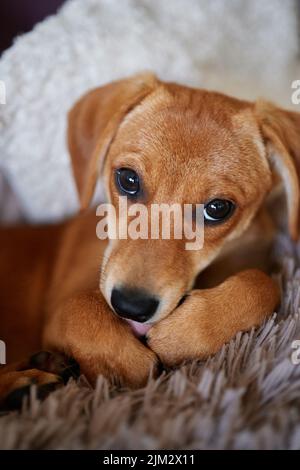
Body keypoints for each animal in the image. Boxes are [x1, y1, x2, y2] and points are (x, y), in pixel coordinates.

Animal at [1, 72, 298, 404]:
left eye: (218, 208)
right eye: (128, 179)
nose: (131, 306)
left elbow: (263, 284)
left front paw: (182, 334)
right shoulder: (60, 311)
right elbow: (79, 308)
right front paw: (126, 363)